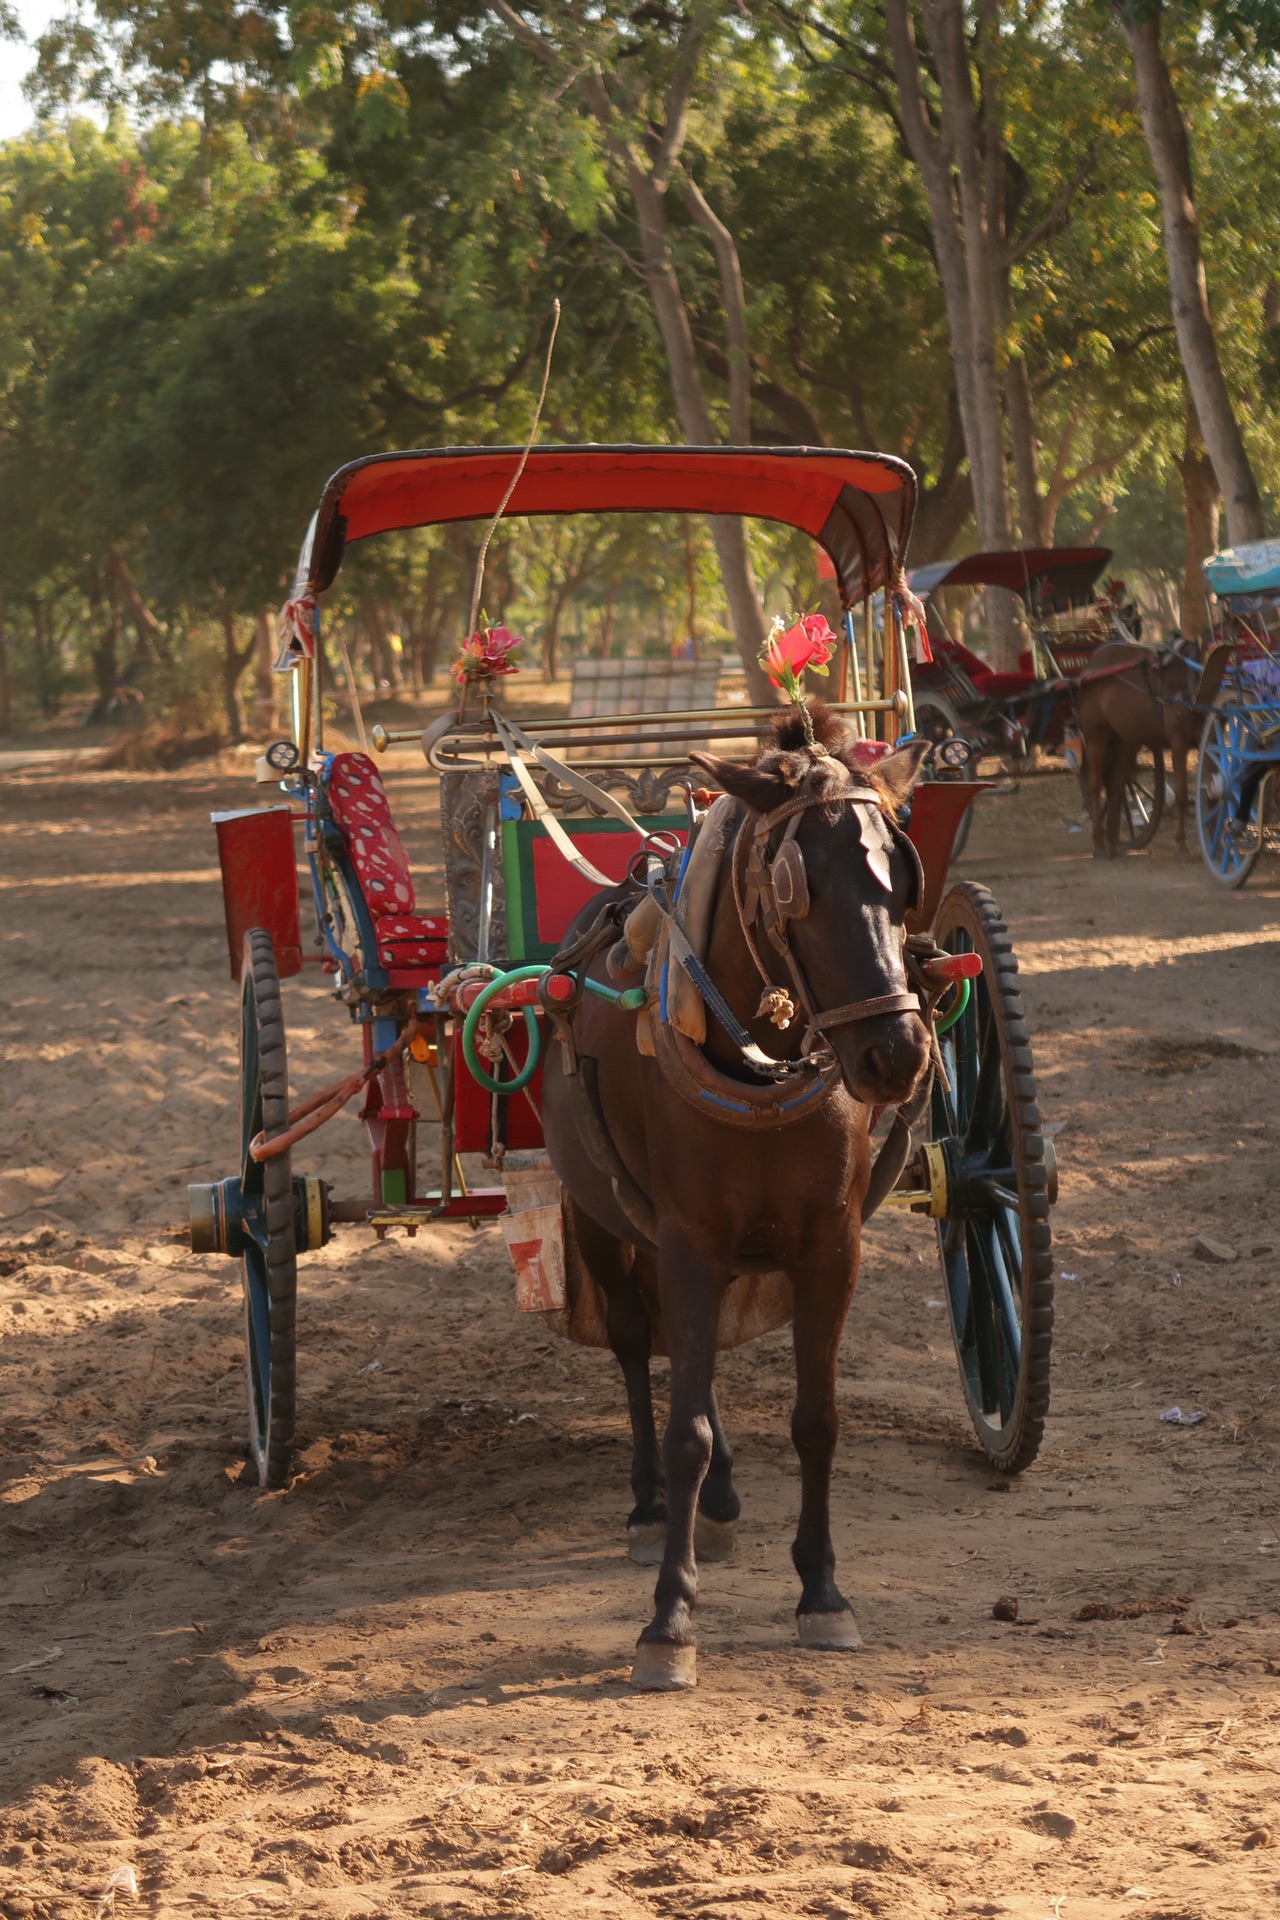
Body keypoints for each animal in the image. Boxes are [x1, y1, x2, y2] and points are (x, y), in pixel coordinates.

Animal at [541, 702, 932, 1681]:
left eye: (900, 883)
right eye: (799, 889)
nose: (899, 1054)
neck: (756, 1065)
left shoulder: (833, 1245)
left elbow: (816, 1420)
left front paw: (822, 1593)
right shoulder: (686, 1237)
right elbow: (683, 1424)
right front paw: (669, 1618)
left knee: (699, 1355)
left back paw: (714, 1504)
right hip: (605, 1218)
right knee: (639, 1348)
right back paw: (654, 1508)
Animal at [1082, 641, 1205, 860]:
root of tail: (1091, 665)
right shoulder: (1178, 743)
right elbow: (1182, 795)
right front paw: (1182, 846)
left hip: (1126, 741)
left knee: (1114, 784)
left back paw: (1115, 843)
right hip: (1096, 737)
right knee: (1095, 785)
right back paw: (1099, 845)